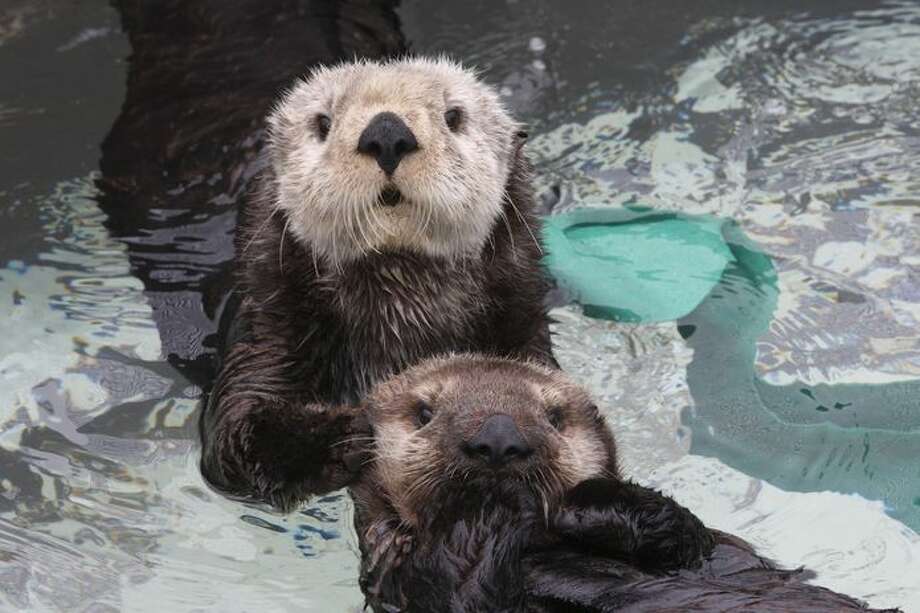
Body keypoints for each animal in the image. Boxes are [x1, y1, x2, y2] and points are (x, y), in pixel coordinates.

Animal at [200, 57, 552, 510]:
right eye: (323, 122)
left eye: (454, 116)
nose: (387, 132)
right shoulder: (269, 325)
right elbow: (237, 431)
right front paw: (357, 429)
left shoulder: (519, 322)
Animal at [350, 356, 892, 608]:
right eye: (424, 412)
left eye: (554, 415)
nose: (499, 437)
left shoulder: (705, 549)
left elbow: (683, 533)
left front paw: (577, 508)